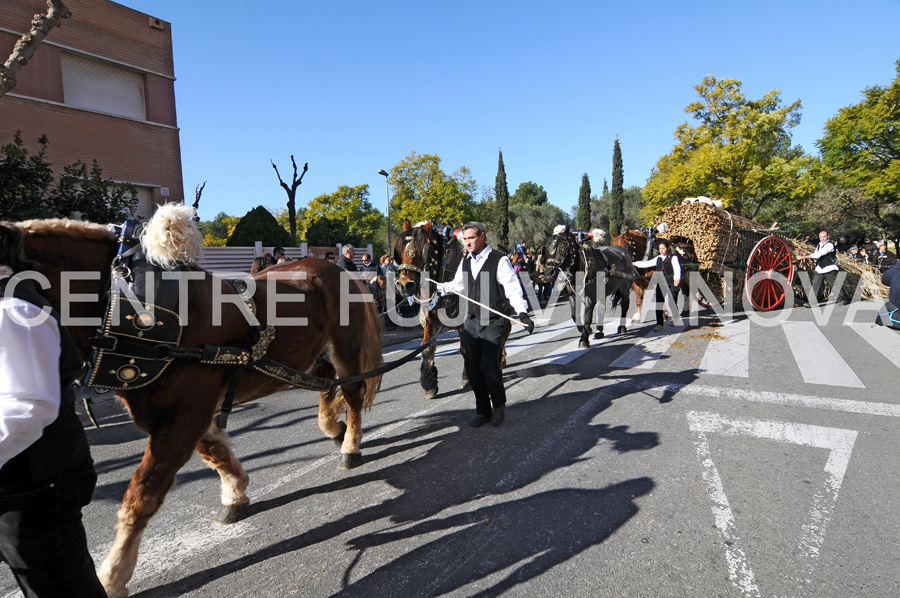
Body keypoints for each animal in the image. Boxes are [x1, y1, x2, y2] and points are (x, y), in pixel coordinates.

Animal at [17, 206, 382, 598]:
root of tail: (333, 267)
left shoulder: (183, 417)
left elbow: (141, 496)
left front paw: (113, 575)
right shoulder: (185, 413)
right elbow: (214, 452)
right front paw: (235, 495)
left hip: (345, 346)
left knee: (352, 392)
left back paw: (350, 446)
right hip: (308, 354)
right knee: (326, 380)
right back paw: (332, 427)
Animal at [392, 220, 510, 398]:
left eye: (422, 250)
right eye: (400, 250)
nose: (405, 285)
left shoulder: (464, 324)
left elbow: (466, 349)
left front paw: (467, 377)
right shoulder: (430, 321)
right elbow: (426, 348)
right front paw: (429, 384)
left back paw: (500, 358)